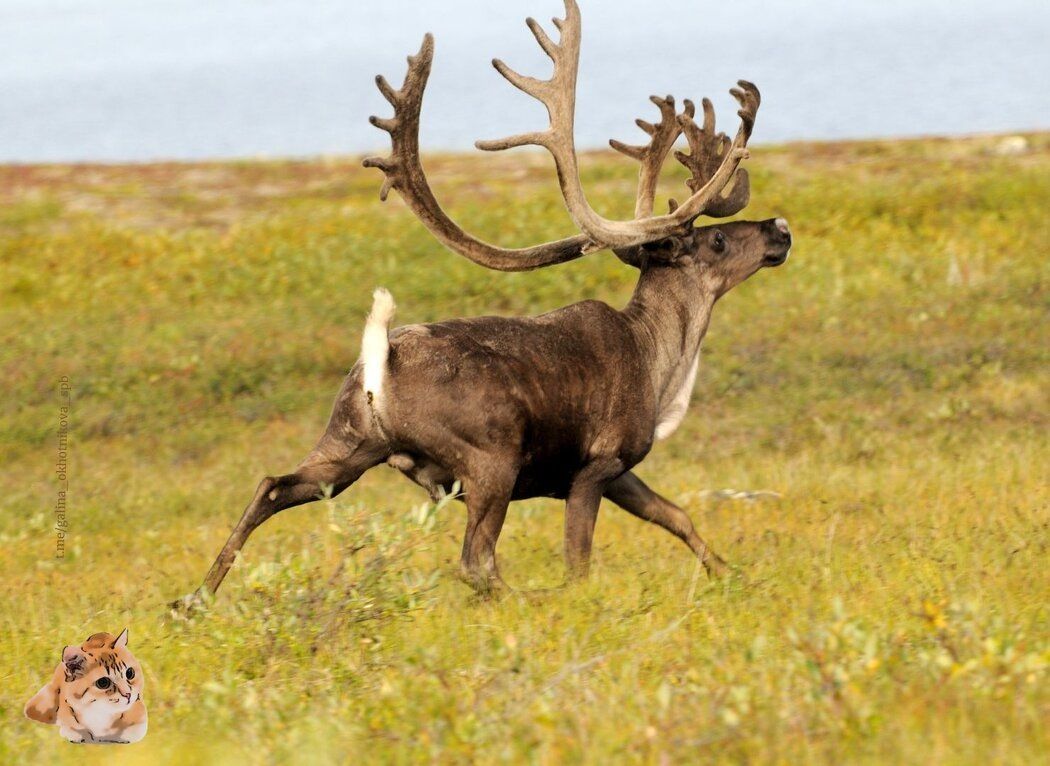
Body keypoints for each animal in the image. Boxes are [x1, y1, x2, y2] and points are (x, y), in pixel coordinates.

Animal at [176, 0, 791, 608]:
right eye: (717, 240)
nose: (780, 228)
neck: (661, 363)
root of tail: (379, 366)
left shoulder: (621, 473)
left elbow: (678, 515)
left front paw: (734, 576)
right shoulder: (595, 466)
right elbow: (580, 562)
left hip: (346, 446)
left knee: (271, 486)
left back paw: (193, 600)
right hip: (492, 462)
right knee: (477, 561)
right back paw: (529, 598)